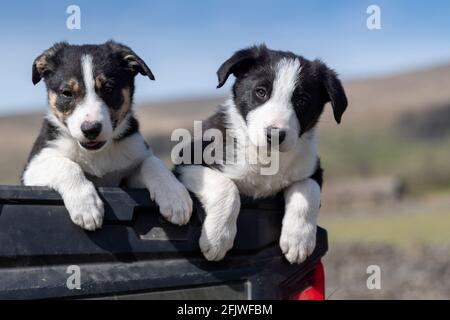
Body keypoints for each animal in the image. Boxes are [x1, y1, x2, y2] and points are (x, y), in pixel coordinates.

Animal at [22, 42, 192, 230]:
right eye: (67, 93)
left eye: (109, 89)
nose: (91, 129)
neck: (97, 154)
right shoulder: (32, 168)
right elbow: (66, 165)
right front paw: (86, 207)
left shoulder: (130, 167)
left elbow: (152, 162)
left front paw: (175, 197)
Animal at [176, 45, 348, 264]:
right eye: (261, 92)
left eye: (302, 101)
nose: (274, 134)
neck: (266, 157)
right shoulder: (187, 162)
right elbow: (227, 187)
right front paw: (217, 239)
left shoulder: (312, 169)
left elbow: (308, 190)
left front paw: (298, 240)